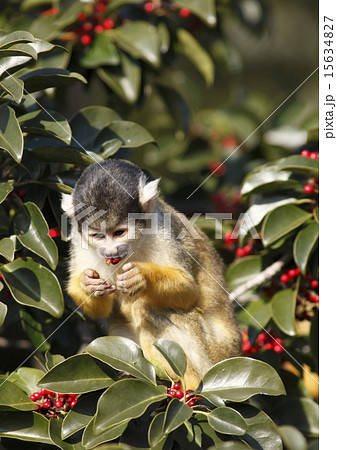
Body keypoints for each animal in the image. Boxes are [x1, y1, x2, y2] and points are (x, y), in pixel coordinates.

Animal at [61, 160, 240, 388]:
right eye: (99, 236)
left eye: (119, 233)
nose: (111, 252)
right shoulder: (78, 237)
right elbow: (101, 308)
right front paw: (88, 285)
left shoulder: (162, 226)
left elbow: (189, 291)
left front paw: (142, 276)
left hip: (215, 355)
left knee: (148, 307)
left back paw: (190, 382)